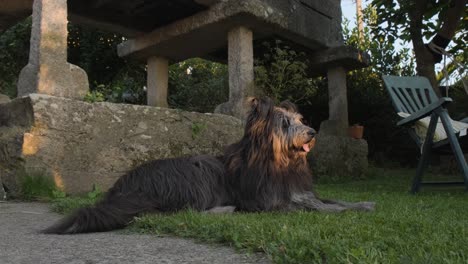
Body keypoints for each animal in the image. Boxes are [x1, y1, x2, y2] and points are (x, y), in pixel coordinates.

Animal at [44, 98, 372, 234]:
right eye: (284, 123)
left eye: (300, 120)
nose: (312, 132)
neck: (281, 162)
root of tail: (125, 186)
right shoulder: (268, 203)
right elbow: (317, 208)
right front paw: (344, 211)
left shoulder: (299, 193)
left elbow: (329, 200)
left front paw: (362, 203)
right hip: (197, 174)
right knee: (175, 213)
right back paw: (224, 210)